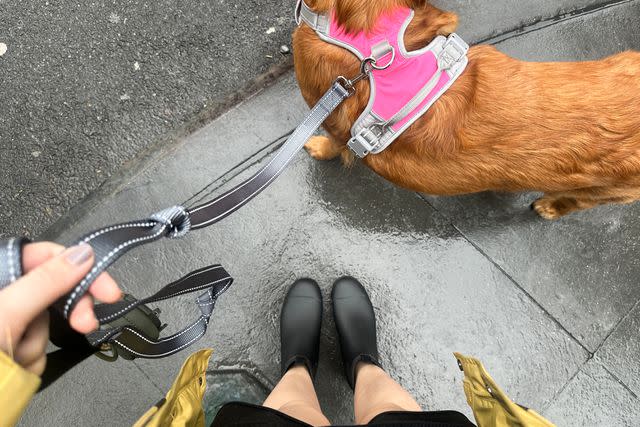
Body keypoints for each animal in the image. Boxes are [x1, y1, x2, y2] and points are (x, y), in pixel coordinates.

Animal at [292, 0, 640, 219]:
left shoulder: (334, 118)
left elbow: (333, 142)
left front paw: (317, 147)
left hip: (604, 191)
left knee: (579, 201)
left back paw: (550, 207)